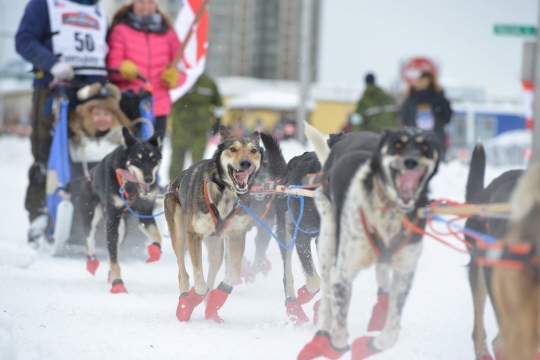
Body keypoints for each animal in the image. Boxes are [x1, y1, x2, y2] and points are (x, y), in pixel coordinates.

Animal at [78, 128, 162, 294]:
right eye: (137, 159)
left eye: (153, 159)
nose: (149, 178)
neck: (131, 188)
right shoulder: (112, 219)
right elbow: (113, 257)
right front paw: (118, 284)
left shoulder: (145, 214)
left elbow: (157, 236)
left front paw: (155, 251)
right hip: (92, 218)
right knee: (91, 240)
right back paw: (92, 263)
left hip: (121, 231)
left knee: (114, 246)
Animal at [298, 124, 440, 360]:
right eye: (397, 145)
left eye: (426, 147)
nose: (411, 161)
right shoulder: (343, 272)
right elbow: (339, 329)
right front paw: (334, 345)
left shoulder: (404, 273)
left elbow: (392, 332)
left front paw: (367, 346)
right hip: (328, 241)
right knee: (326, 291)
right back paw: (320, 336)